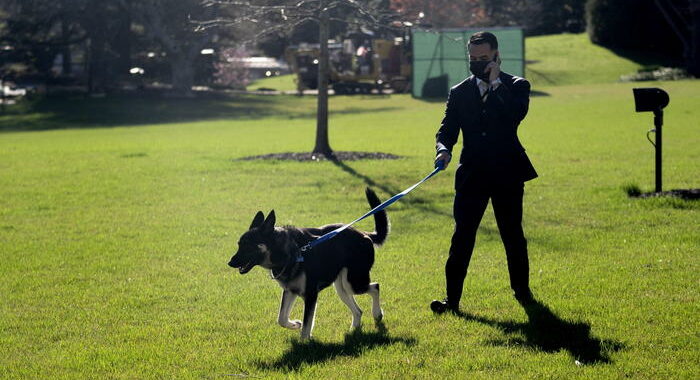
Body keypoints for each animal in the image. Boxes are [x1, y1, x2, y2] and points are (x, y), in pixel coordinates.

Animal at [232, 189, 392, 340]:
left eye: (248, 246)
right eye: (239, 244)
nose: (230, 262)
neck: (289, 252)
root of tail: (364, 234)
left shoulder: (310, 294)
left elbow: (307, 324)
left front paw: (304, 341)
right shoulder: (290, 291)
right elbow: (281, 319)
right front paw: (295, 324)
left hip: (353, 283)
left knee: (375, 287)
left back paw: (377, 314)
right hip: (342, 287)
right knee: (358, 310)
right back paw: (354, 328)